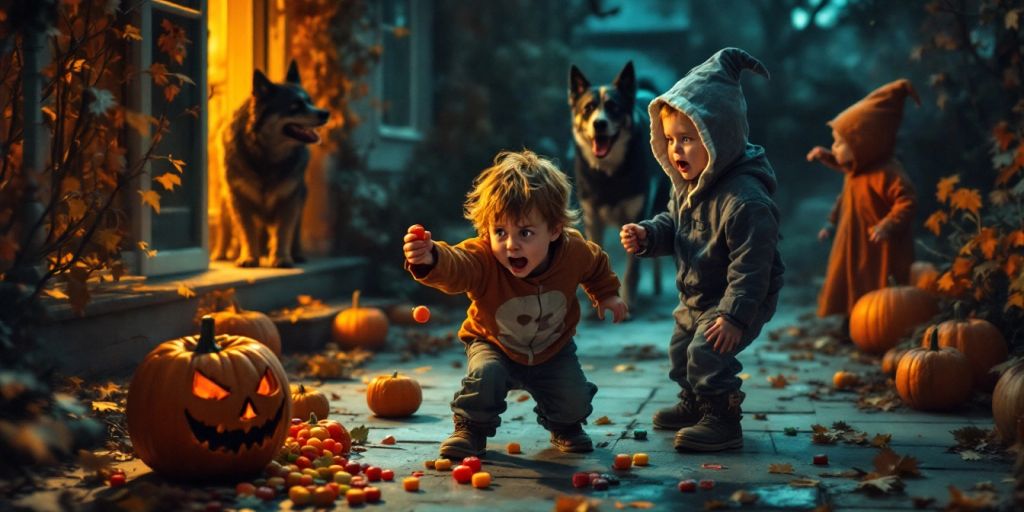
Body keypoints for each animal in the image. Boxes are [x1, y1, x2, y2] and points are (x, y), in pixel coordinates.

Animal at [211, 60, 327, 268]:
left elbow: (284, 231)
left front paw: (281, 258)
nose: (325, 113)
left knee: (295, 232)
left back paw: (296, 254)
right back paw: (221, 253)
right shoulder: (239, 198)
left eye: (310, 102)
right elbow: (247, 231)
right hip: (224, 199)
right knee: (225, 227)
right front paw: (249, 257)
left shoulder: (290, 198)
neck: (266, 155)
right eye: (294, 106)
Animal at [569, 60, 663, 307]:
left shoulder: (636, 216)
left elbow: (632, 270)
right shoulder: (593, 219)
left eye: (614, 107)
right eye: (588, 108)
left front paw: (629, 303)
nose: (599, 124)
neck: (609, 174)